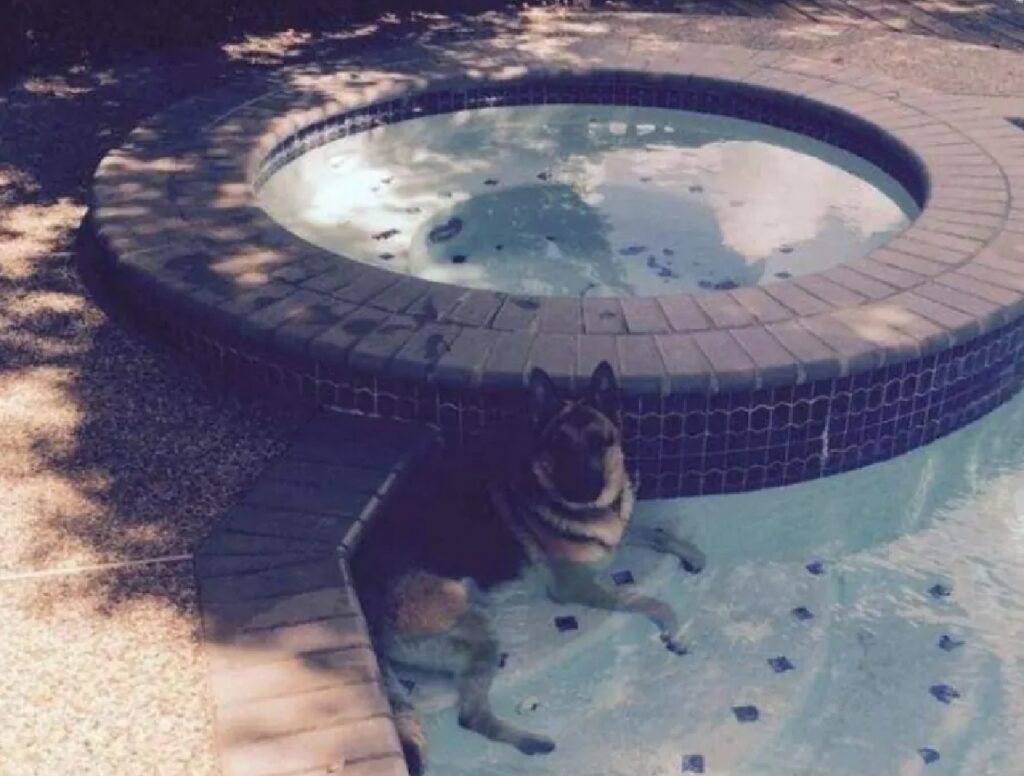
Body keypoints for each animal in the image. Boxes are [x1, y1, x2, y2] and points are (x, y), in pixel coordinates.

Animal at [352, 364, 704, 776]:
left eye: (600, 442)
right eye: (559, 446)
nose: (584, 489)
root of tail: (363, 600)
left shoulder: (614, 539)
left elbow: (655, 533)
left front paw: (692, 554)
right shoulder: (576, 586)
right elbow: (650, 601)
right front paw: (674, 631)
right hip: (478, 631)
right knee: (470, 716)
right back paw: (533, 742)